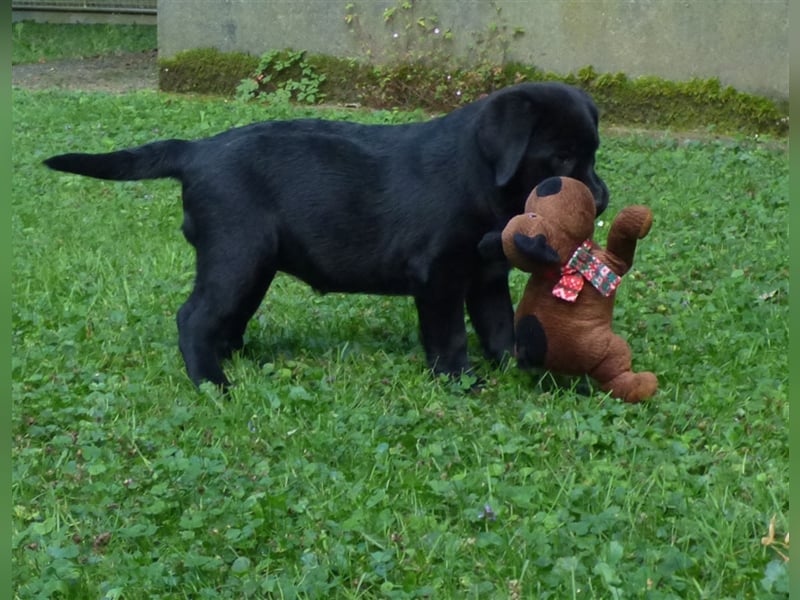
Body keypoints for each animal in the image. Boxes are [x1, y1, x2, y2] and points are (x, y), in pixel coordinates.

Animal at [45, 82, 608, 386]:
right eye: (560, 159)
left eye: (593, 153)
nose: (601, 198)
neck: (483, 176)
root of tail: (196, 150)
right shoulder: (440, 275)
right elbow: (449, 335)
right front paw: (459, 381)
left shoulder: (486, 277)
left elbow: (499, 328)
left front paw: (515, 369)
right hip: (236, 255)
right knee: (194, 317)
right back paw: (212, 383)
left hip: (254, 266)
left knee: (224, 320)